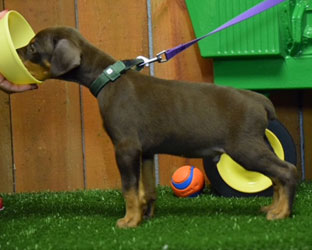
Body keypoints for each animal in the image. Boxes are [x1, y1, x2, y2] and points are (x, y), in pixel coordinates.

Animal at [17, 26, 298, 228]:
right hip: (258, 144)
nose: (16, 51)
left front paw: (129, 221)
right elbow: (147, 189)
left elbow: (129, 189)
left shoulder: (126, 148)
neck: (108, 78)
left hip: (245, 148)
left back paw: (282, 213)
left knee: (287, 171)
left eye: (32, 47)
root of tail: (259, 100)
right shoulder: (145, 152)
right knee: (277, 176)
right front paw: (146, 216)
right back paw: (273, 208)